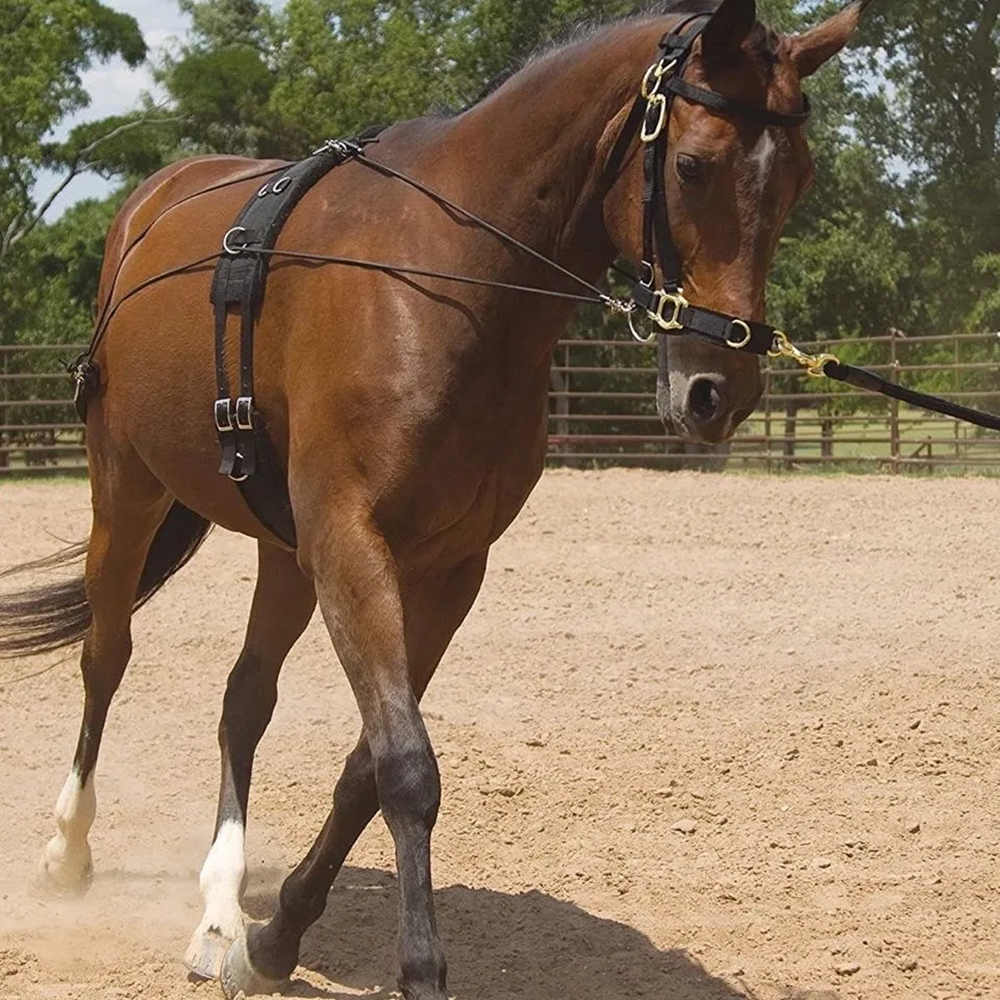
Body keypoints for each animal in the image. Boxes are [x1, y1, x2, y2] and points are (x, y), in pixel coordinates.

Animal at [0, 0, 867, 996]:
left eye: (799, 179)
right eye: (693, 165)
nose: (718, 389)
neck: (451, 278)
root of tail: (153, 203)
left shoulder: (447, 568)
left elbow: (366, 765)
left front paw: (276, 937)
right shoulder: (352, 544)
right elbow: (407, 767)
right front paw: (417, 966)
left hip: (281, 549)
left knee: (244, 700)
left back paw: (219, 918)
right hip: (127, 492)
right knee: (105, 657)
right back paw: (68, 852)